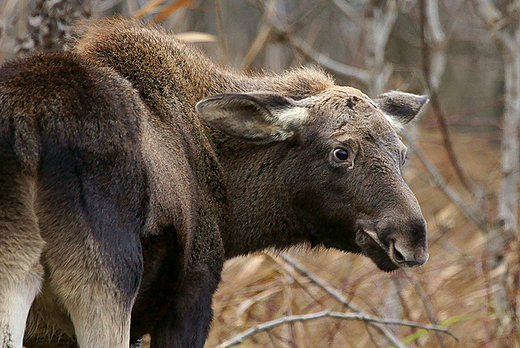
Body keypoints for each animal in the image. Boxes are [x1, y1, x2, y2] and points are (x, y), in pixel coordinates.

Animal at [0, 19, 426, 348]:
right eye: (341, 152)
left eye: (403, 154)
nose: (413, 238)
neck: (234, 216)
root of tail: (29, 124)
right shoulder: (194, 291)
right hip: (102, 281)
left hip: (16, 273)